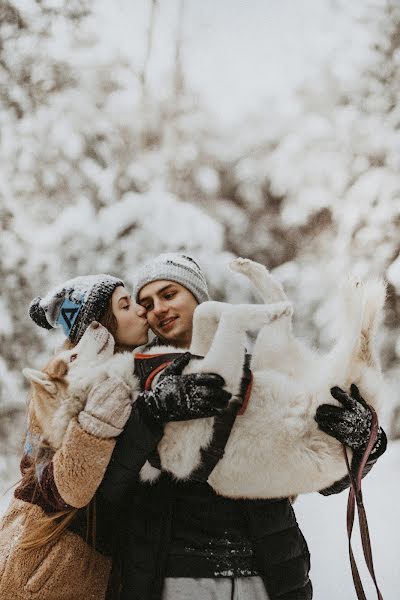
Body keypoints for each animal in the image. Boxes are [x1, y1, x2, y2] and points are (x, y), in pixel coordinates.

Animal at [23, 260, 386, 500]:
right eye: (71, 357)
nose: (96, 325)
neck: (138, 381)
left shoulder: (201, 354)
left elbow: (205, 310)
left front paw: (222, 303)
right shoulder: (221, 374)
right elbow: (233, 317)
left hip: (271, 354)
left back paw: (253, 273)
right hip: (331, 371)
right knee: (359, 339)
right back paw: (354, 301)